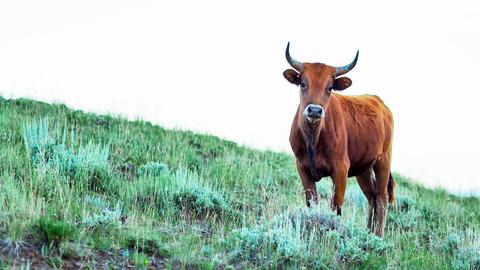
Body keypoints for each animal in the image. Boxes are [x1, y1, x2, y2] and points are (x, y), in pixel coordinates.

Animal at [284, 41, 396, 236]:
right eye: (303, 83)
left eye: (330, 88)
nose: (315, 110)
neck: (313, 138)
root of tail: (380, 103)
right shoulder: (302, 168)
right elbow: (312, 202)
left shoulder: (341, 170)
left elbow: (335, 206)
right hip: (364, 168)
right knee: (372, 197)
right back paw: (368, 232)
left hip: (383, 161)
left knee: (382, 198)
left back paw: (378, 236)